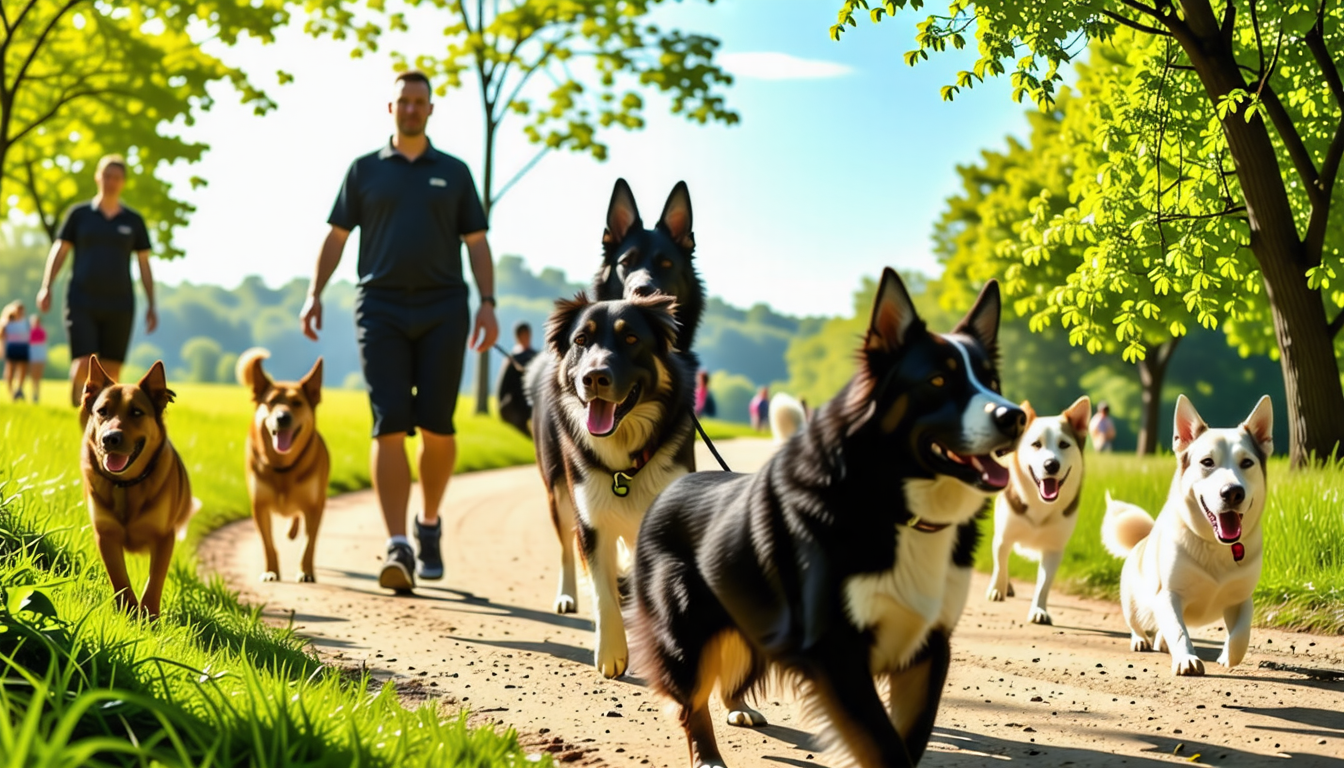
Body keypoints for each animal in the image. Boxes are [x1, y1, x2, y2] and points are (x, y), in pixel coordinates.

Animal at [532, 294, 693, 677]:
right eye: (580, 340)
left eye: (631, 338)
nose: (594, 378)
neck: (626, 461)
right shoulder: (590, 519)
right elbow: (602, 591)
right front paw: (612, 652)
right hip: (558, 493)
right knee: (567, 549)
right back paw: (567, 596)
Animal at [623, 270, 1021, 768]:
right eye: (937, 379)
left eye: (992, 381)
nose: (1016, 416)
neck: (891, 505)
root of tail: (671, 488)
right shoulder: (835, 651)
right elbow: (884, 746)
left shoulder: (927, 649)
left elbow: (907, 740)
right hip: (686, 628)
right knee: (691, 699)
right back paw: (709, 755)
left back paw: (739, 706)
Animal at [989, 395, 1091, 624]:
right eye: (1036, 444)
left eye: (1064, 444)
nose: (1051, 464)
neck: (1040, 503)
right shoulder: (1003, 536)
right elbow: (1000, 563)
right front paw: (997, 588)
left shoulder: (1054, 548)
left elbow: (1044, 584)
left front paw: (1039, 610)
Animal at [1102, 395, 1268, 677]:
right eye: (1207, 462)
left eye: (1247, 463)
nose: (1233, 492)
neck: (1215, 545)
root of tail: (1143, 540)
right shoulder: (1168, 595)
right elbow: (1178, 631)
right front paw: (1187, 659)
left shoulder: (1241, 598)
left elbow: (1241, 632)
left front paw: (1228, 656)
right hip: (1132, 602)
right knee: (1138, 623)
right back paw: (1141, 640)